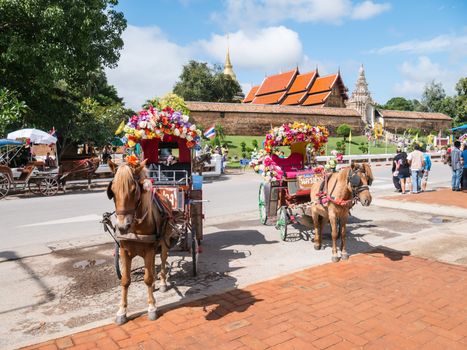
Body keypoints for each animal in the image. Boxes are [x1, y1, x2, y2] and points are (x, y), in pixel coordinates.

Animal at [107, 160, 176, 324]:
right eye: (112, 191)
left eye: (133, 190)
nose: (122, 227)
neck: (136, 227)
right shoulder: (124, 251)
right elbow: (125, 280)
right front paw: (122, 311)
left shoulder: (149, 250)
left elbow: (148, 278)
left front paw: (151, 307)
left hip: (164, 242)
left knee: (162, 260)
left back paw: (162, 282)